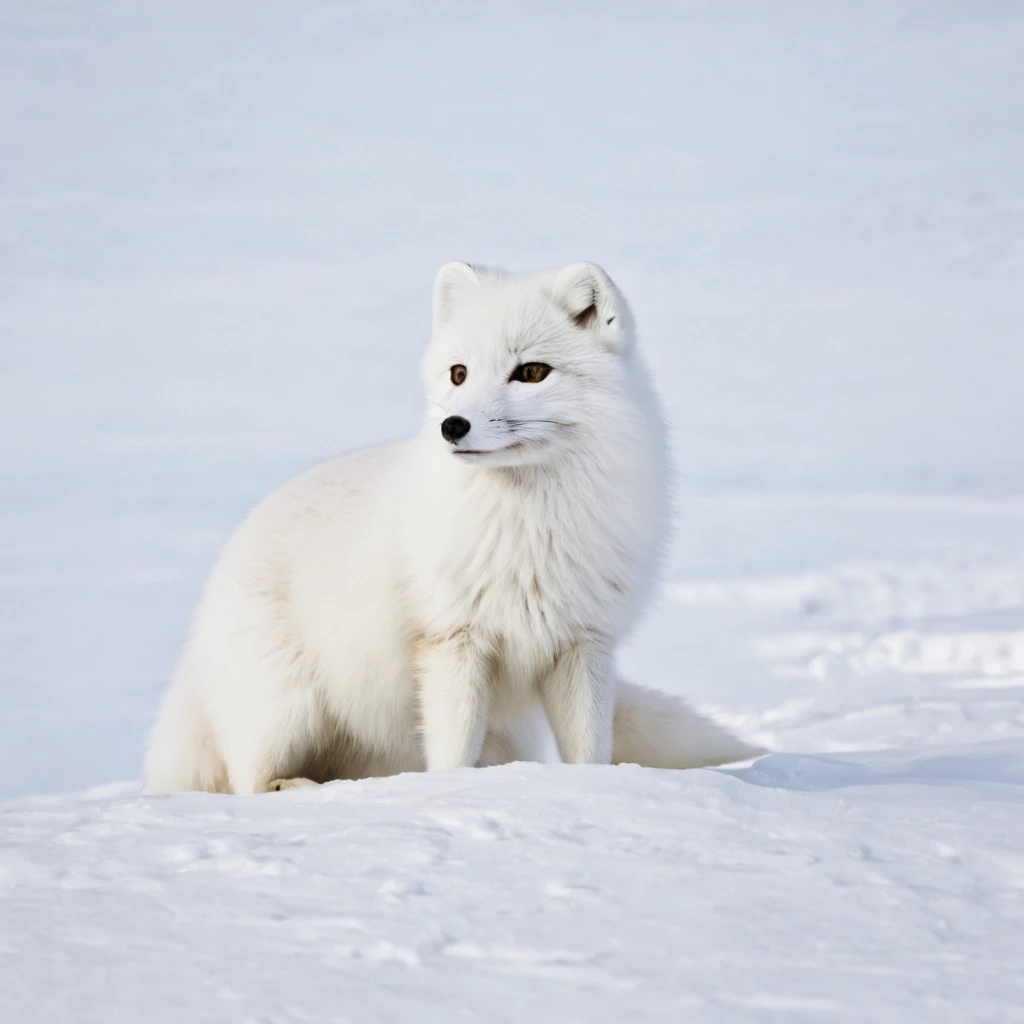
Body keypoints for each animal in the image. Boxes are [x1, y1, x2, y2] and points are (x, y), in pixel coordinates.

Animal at [148, 262, 765, 790]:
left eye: (531, 372)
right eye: (459, 372)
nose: (453, 425)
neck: (529, 529)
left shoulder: (581, 644)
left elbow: (589, 748)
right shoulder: (453, 641)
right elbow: (450, 752)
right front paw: (450, 795)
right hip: (286, 707)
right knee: (248, 780)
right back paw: (295, 787)